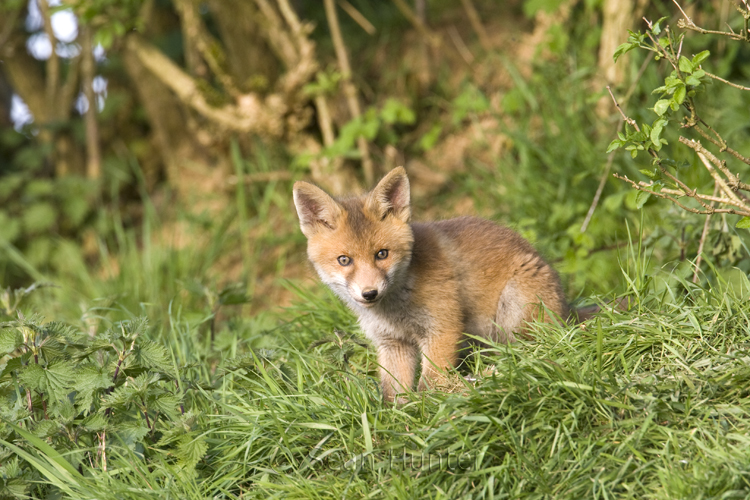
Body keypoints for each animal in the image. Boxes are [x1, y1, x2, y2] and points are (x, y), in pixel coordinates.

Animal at [296, 168, 568, 402]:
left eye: (382, 254)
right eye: (344, 260)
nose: (370, 293)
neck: (395, 310)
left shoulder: (442, 329)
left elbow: (430, 386)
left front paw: (430, 414)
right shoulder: (393, 343)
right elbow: (393, 394)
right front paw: (399, 421)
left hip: (514, 310)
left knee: (530, 350)